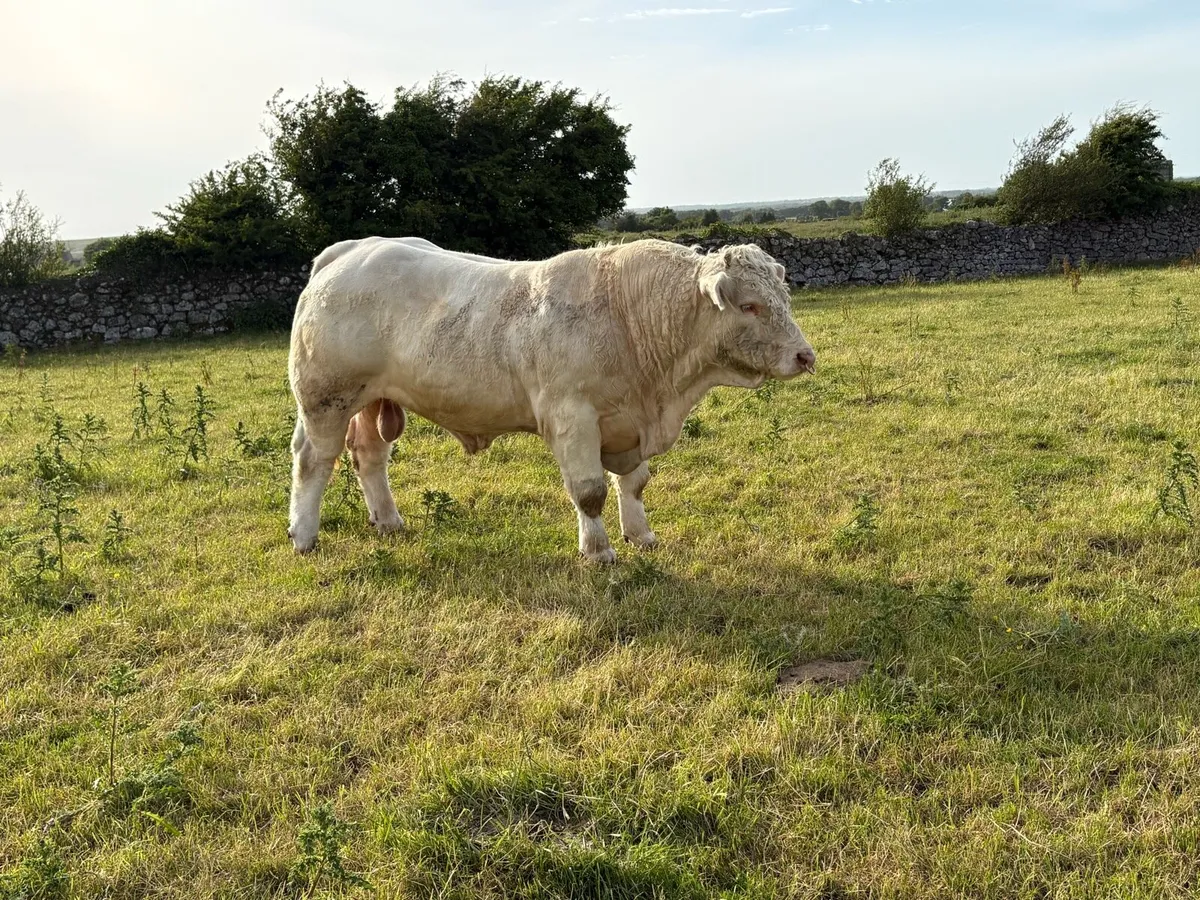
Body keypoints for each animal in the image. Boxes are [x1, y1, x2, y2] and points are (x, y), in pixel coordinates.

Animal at [287, 237, 816, 563]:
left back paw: (389, 521)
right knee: (314, 461)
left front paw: (641, 534)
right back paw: (304, 535)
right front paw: (599, 550)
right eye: (750, 305)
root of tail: (352, 249)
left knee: (369, 457)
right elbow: (590, 490)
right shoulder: (573, 417)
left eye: (784, 296)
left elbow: (634, 484)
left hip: (371, 400)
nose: (805, 356)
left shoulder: (629, 423)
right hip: (325, 398)